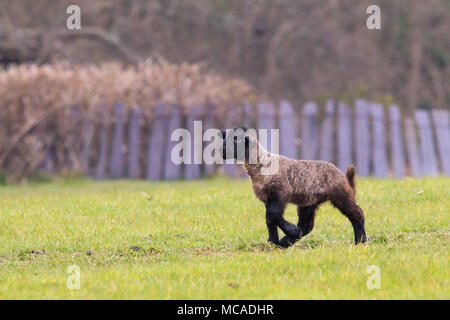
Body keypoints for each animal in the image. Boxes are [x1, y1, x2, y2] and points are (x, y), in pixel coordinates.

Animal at [220, 126, 368, 249]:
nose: (221, 151)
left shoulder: (280, 192)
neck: (260, 164)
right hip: (309, 202)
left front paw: (291, 233)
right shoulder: (268, 197)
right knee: (307, 225)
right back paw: (286, 242)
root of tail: (342, 176)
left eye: (235, 140)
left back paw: (360, 241)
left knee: (357, 213)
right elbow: (269, 219)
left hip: (340, 195)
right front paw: (273, 242)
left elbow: (272, 215)